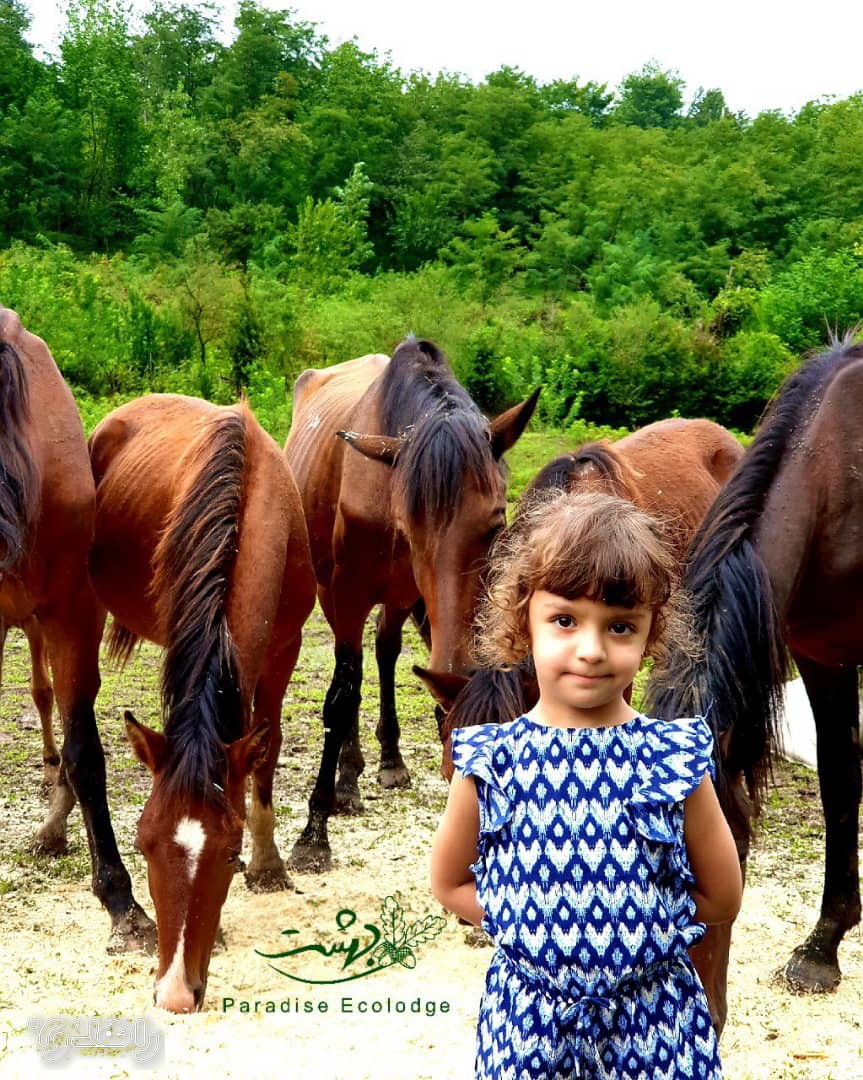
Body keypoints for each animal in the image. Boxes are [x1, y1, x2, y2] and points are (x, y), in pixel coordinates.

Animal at [83, 394, 316, 1012]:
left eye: (230, 855)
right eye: (142, 846)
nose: (175, 994)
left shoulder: (287, 647)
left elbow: (267, 746)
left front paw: (269, 864)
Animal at [284, 336, 539, 871]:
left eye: (495, 523)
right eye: (411, 528)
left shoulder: (411, 595)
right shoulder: (346, 590)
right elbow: (341, 694)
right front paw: (314, 830)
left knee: (382, 654)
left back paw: (386, 760)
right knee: (353, 668)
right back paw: (347, 777)